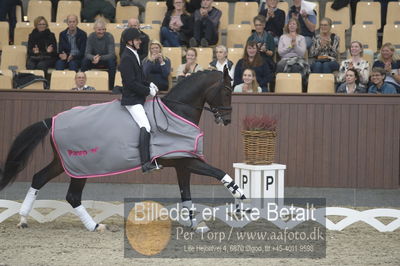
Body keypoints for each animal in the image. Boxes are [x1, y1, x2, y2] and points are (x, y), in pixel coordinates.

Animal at [0, 68, 245, 231]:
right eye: (226, 91)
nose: (228, 120)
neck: (177, 113)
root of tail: (52, 120)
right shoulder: (188, 161)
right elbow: (220, 173)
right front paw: (240, 200)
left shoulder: (182, 164)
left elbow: (186, 194)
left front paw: (195, 225)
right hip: (80, 166)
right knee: (72, 196)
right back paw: (94, 226)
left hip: (62, 162)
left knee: (39, 178)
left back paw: (23, 219)